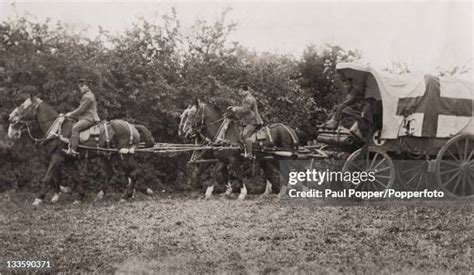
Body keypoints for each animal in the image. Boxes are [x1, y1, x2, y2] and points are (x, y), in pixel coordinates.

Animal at [7, 96, 155, 206]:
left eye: (24, 106)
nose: (10, 118)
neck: (58, 130)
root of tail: (132, 125)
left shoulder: (57, 158)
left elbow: (48, 177)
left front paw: (39, 198)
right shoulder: (68, 160)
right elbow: (73, 178)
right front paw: (76, 195)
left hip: (124, 156)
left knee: (133, 173)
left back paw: (126, 196)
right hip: (108, 156)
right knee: (114, 173)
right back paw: (104, 194)